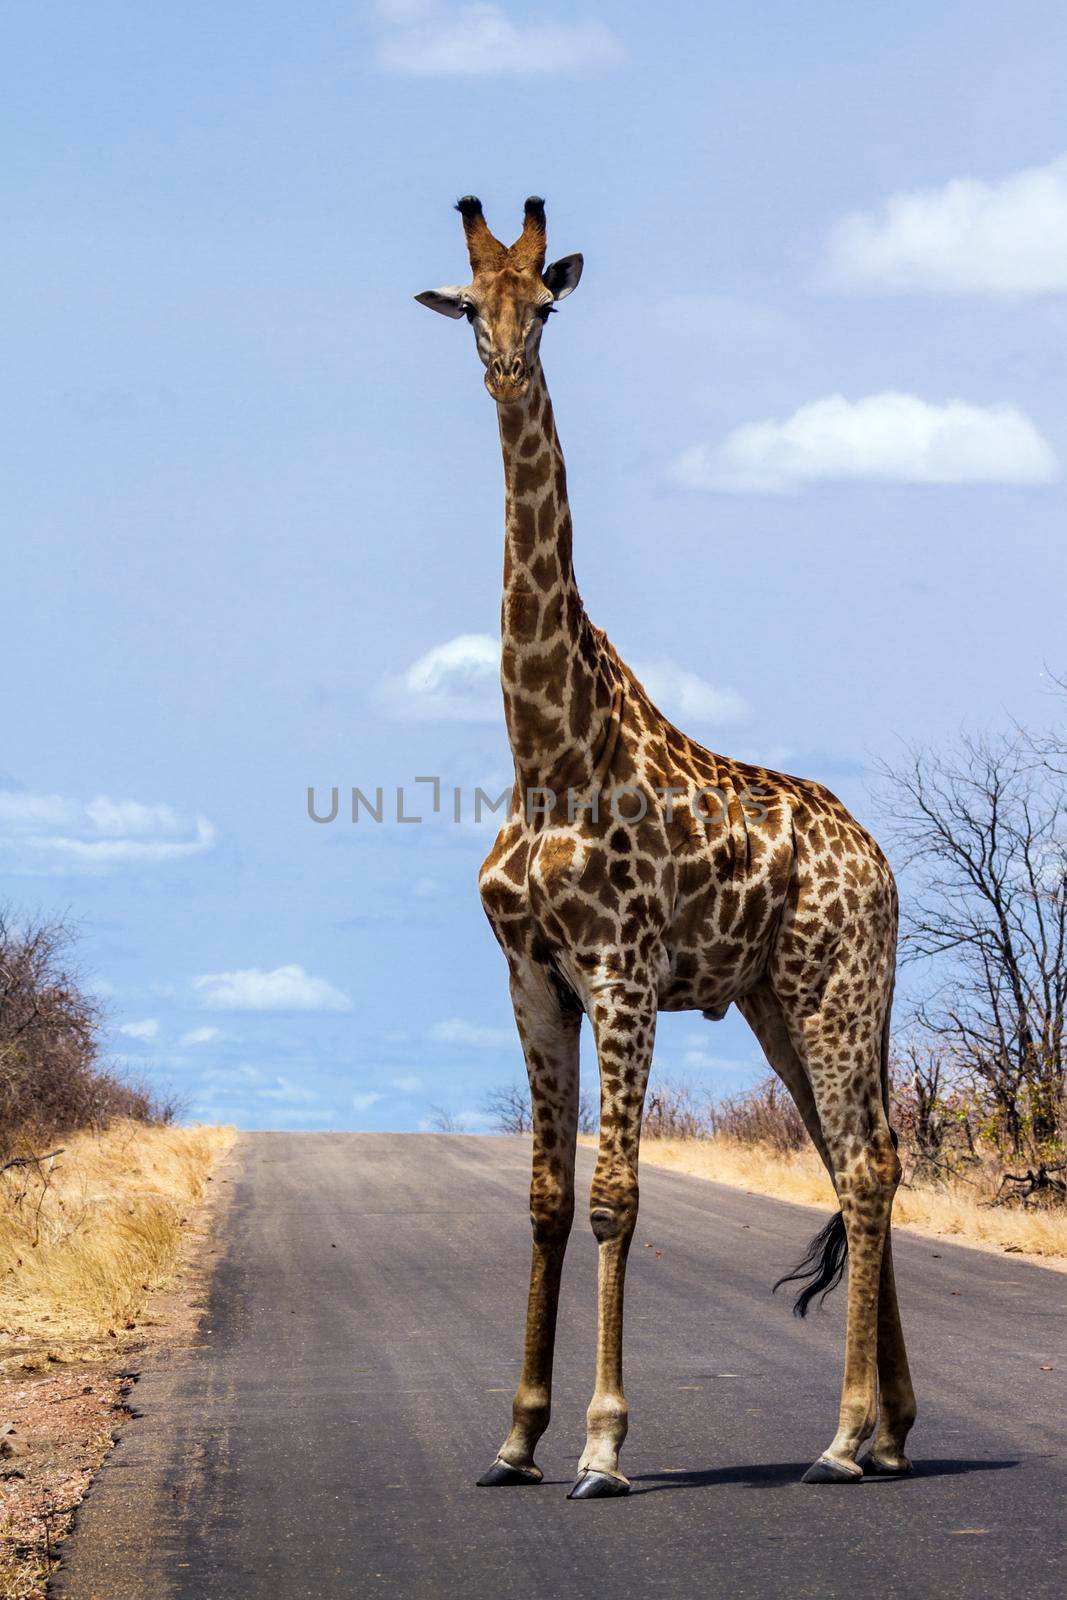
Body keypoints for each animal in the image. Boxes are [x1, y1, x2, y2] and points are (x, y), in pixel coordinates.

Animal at [415, 196, 921, 1497]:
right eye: (467, 302)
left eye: (543, 305)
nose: (504, 368)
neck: (547, 750)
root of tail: (881, 866)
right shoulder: (529, 974)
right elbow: (546, 1195)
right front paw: (516, 1435)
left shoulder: (622, 972)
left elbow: (615, 1195)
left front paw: (601, 1443)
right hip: (782, 1001)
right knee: (864, 1159)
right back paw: (892, 1432)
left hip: (835, 986)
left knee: (861, 1167)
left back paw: (843, 1438)